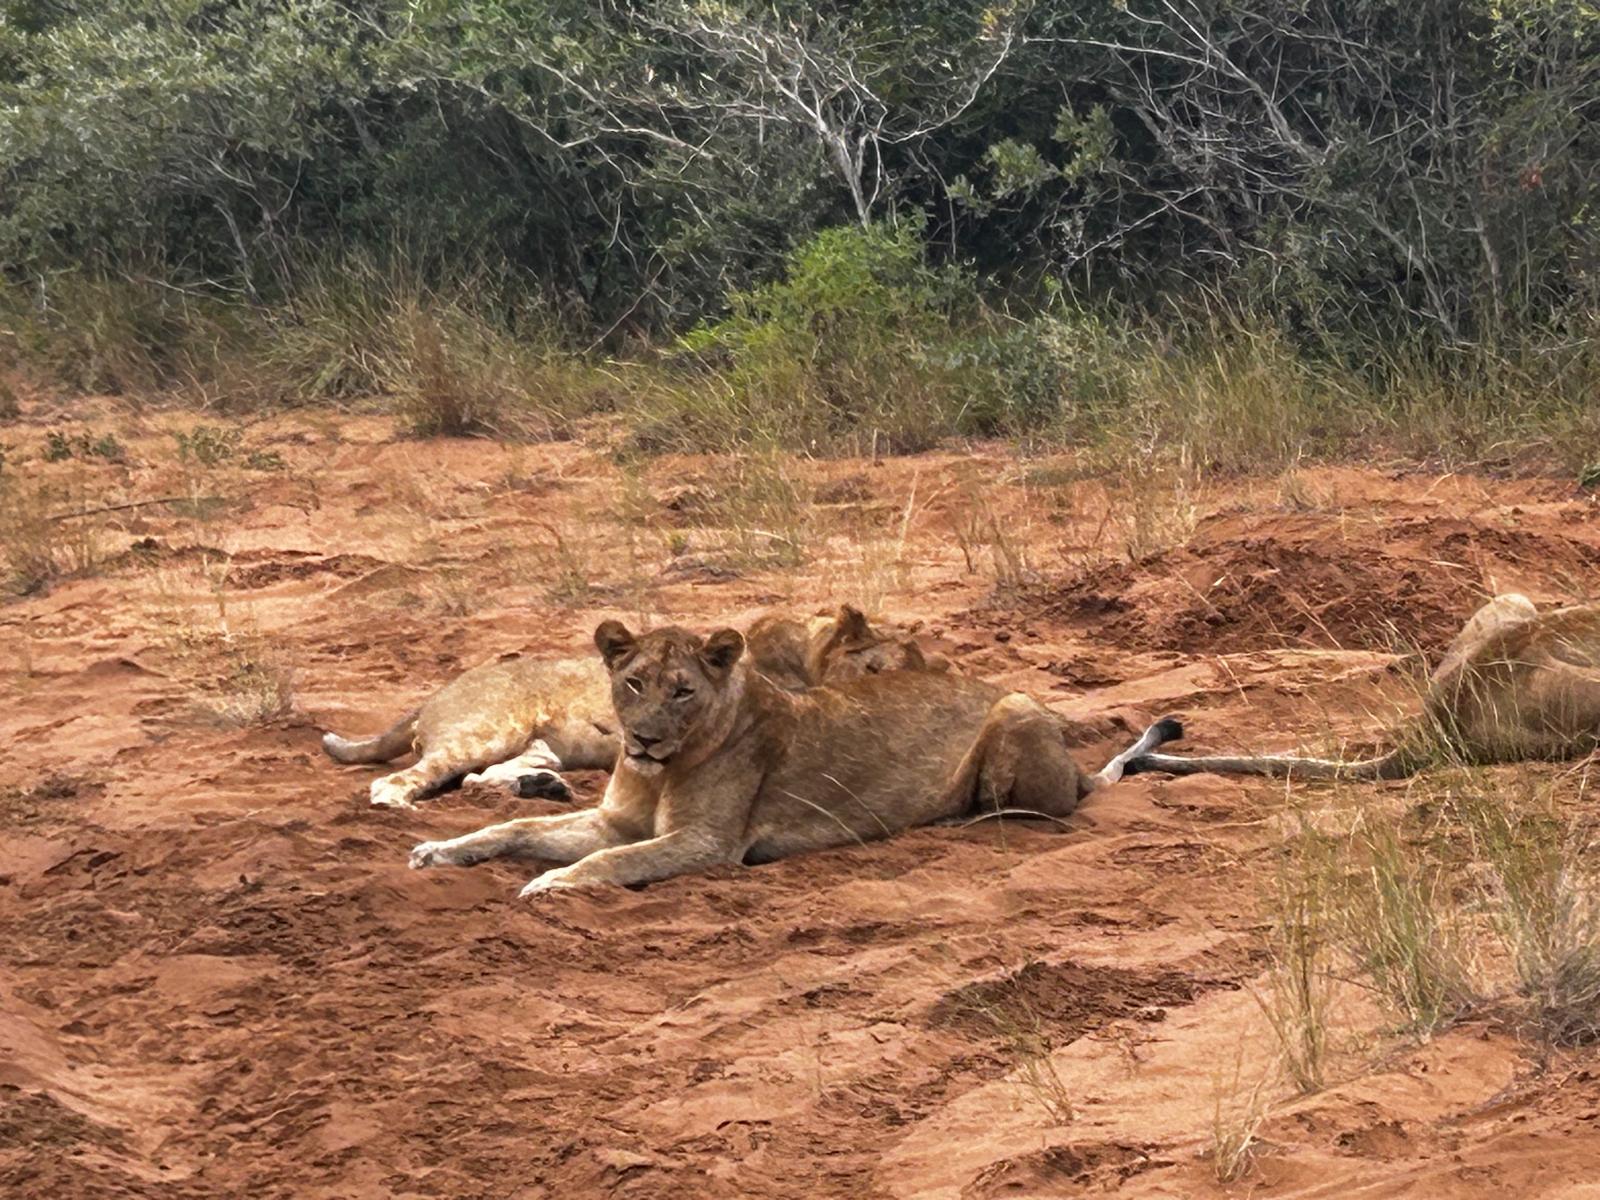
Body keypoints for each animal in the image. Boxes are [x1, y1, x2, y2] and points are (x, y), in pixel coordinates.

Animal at [321, 606, 933, 809]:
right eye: (877, 668)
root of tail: (432, 695)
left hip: (534, 747)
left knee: (479, 779)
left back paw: (544, 788)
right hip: (489, 728)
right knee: (410, 776)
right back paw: (398, 802)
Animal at [407, 620, 1182, 896]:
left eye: (683, 690)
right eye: (633, 684)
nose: (644, 740)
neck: (666, 769)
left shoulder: (708, 842)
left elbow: (612, 863)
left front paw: (553, 882)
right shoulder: (615, 820)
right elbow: (515, 830)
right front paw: (440, 850)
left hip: (1017, 705)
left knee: (1036, 810)